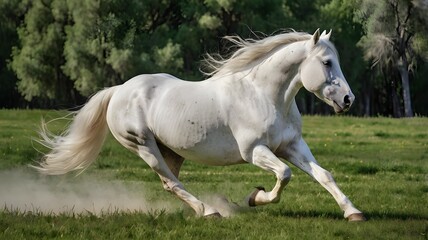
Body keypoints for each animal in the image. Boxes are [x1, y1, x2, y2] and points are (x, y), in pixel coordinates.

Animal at [35, 29, 366, 221]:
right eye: (326, 62)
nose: (348, 99)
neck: (263, 95)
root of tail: (118, 91)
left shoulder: (291, 146)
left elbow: (324, 175)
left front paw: (353, 212)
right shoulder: (255, 152)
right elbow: (284, 175)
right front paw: (254, 197)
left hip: (171, 150)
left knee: (170, 182)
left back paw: (205, 209)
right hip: (143, 146)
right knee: (171, 182)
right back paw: (210, 211)